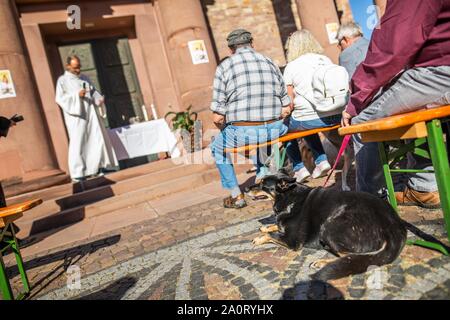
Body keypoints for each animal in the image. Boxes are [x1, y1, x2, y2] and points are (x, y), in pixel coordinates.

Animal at [248, 172, 448, 280]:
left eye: (261, 184)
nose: (246, 189)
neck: (289, 198)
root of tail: (394, 225)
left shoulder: (292, 241)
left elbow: (272, 235)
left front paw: (260, 237)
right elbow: (275, 227)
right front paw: (267, 227)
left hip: (330, 226)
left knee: (350, 257)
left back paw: (323, 262)